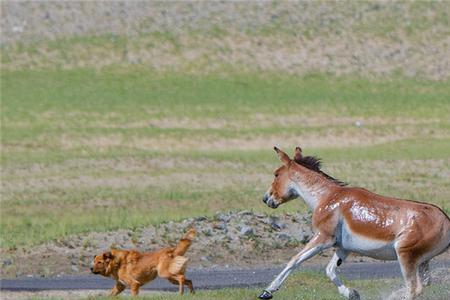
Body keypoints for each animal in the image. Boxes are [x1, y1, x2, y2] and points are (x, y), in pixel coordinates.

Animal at [258, 148, 448, 300]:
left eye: (276, 174)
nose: (266, 199)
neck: (327, 197)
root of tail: (446, 221)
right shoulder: (344, 248)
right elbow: (330, 270)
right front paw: (351, 293)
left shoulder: (322, 238)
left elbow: (294, 260)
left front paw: (267, 291)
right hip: (422, 261)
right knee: (422, 285)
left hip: (405, 255)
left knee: (414, 289)